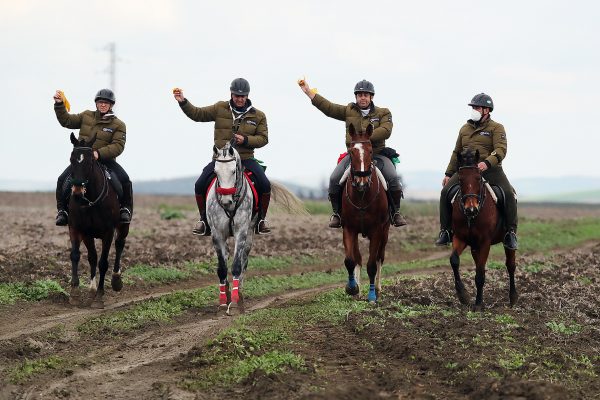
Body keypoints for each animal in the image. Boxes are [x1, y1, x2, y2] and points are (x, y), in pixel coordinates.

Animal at [67, 132, 129, 308]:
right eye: (71, 159)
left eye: (90, 162)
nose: (77, 192)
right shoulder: (83, 230)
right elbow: (88, 257)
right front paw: (83, 292)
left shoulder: (108, 232)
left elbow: (103, 262)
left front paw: (100, 295)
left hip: (123, 226)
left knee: (120, 245)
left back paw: (116, 280)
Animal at [207, 140, 305, 315]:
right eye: (215, 171)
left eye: (233, 171)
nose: (225, 201)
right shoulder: (217, 234)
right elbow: (222, 268)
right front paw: (223, 302)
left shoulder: (241, 232)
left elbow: (237, 266)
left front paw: (235, 303)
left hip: (250, 236)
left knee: (244, 263)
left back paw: (239, 296)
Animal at [340, 124, 390, 304]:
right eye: (351, 151)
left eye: (370, 151)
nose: (361, 180)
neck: (362, 195)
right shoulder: (349, 229)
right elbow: (350, 260)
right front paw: (352, 288)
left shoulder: (377, 231)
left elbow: (372, 265)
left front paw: (372, 296)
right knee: (358, 258)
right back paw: (359, 288)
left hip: (385, 232)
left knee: (380, 257)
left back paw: (378, 288)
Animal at [449, 148, 518, 310]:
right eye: (460, 179)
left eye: (478, 178)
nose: (471, 209)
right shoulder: (460, 238)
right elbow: (454, 260)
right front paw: (464, 296)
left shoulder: (485, 242)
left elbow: (480, 273)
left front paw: (479, 304)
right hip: (474, 247)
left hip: (507, 241)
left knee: (510, 265)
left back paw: (513, 298)